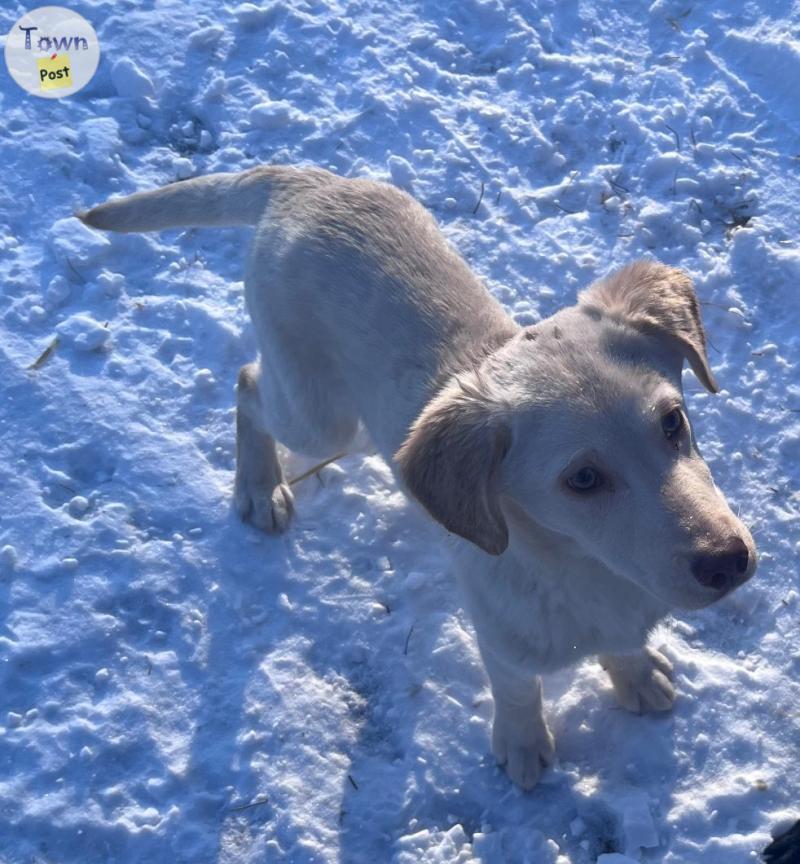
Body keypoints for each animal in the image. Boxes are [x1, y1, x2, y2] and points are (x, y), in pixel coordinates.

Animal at [79, 164, 756, 788]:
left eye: (672, 421)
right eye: (583, 480)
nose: (729, 561)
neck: (583, 567)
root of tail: (307, 183)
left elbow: (624, 644)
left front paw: (635, 674)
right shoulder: (502, 640)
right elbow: (516, 690)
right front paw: (523, 745)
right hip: (322, 419)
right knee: (247, 383)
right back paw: (258, 487)